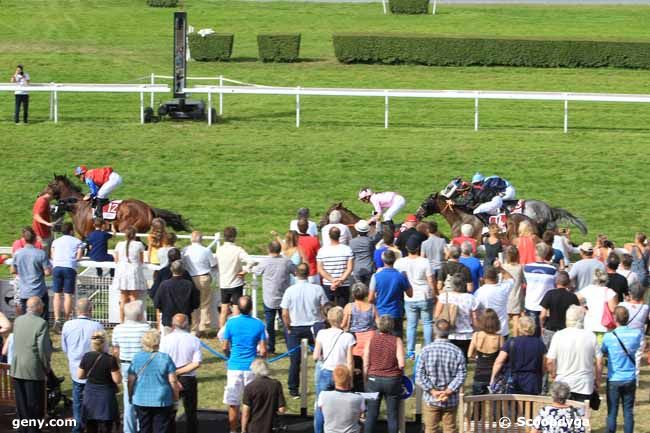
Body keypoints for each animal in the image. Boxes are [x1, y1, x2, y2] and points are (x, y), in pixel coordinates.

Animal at [48, 174, 190, 238]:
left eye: (51, 185)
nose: (42, 195)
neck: (79, 206)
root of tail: (149, 208)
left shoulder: (87, 235)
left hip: (127, 228)